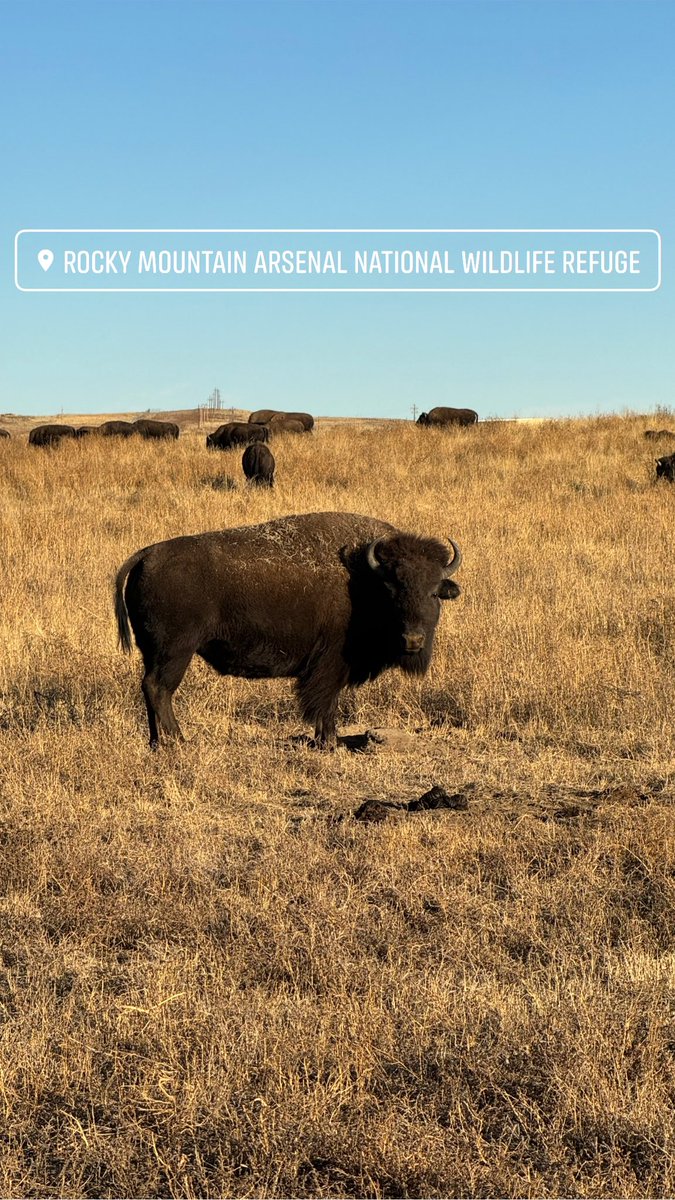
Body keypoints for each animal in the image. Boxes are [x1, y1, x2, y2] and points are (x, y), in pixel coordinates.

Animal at [115, 511, 462, 749]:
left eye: (434, 592)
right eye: (391, 589)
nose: (413, 640)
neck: (364, 577)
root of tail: (148, 554)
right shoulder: (330, 665)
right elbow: (326, 703)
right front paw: (328, 743)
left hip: (155, 652)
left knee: (149, 689)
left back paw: (157, 743)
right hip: (176, 652)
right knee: (159, 689)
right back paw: (179, 741)